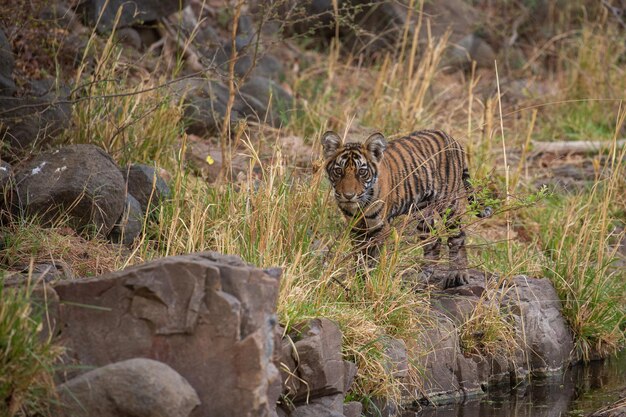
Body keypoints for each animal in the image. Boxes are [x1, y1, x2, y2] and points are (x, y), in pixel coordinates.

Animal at [320, 128, 490, 288]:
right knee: (433, 241)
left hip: (448, 203)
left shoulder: (380, 228)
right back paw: (422, 278)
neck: (359, 206)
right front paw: (359, 281)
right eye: (338, 171)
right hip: (422, 211)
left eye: (362, 172)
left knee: (457, 236)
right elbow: (359, 257)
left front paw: (369, 282)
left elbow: (373, 259)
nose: (348, 195)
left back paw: (457, 275)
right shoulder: (356, 228)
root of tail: (453, 139)